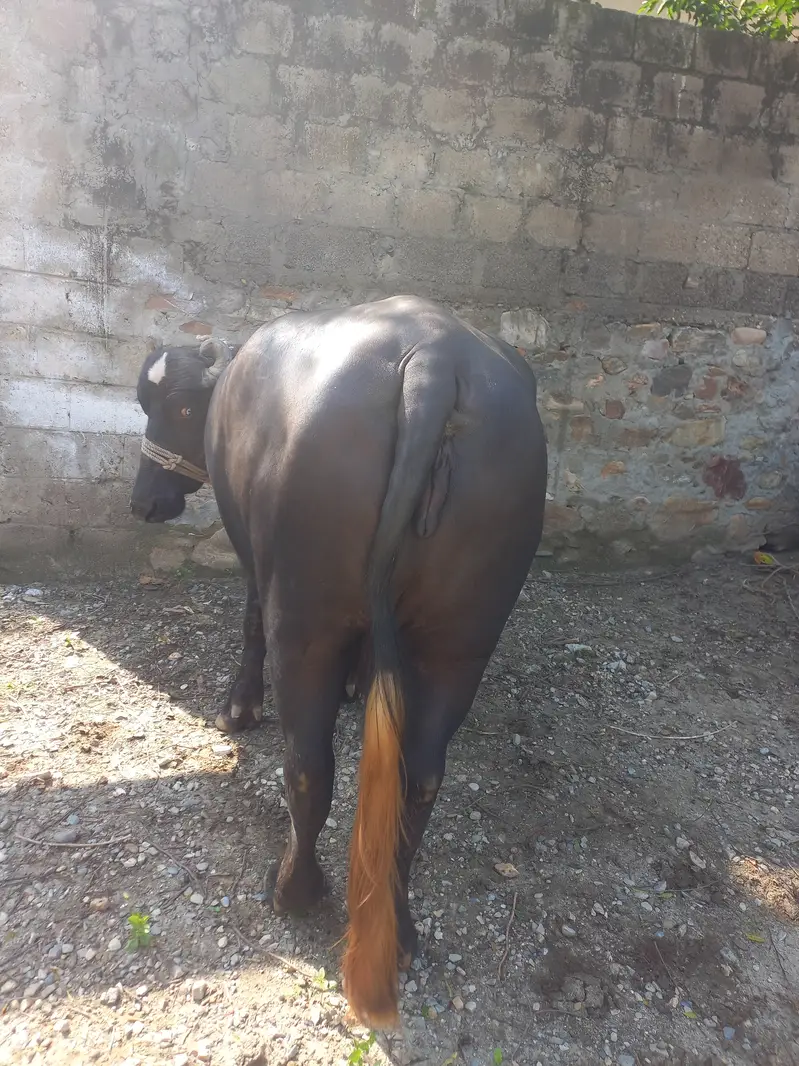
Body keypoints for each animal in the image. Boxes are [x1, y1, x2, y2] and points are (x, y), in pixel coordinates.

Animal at [129, 295, 547, 1029]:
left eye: (176, 407)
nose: (145, 501)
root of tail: (433, 362)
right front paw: (360, 679)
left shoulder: (254, 559)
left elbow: (248, 620)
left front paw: (239, 705)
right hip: (464, 637)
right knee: (420, 775)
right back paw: (399, 926)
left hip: (305, 619)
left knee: (308, 764)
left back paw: (292, 887)